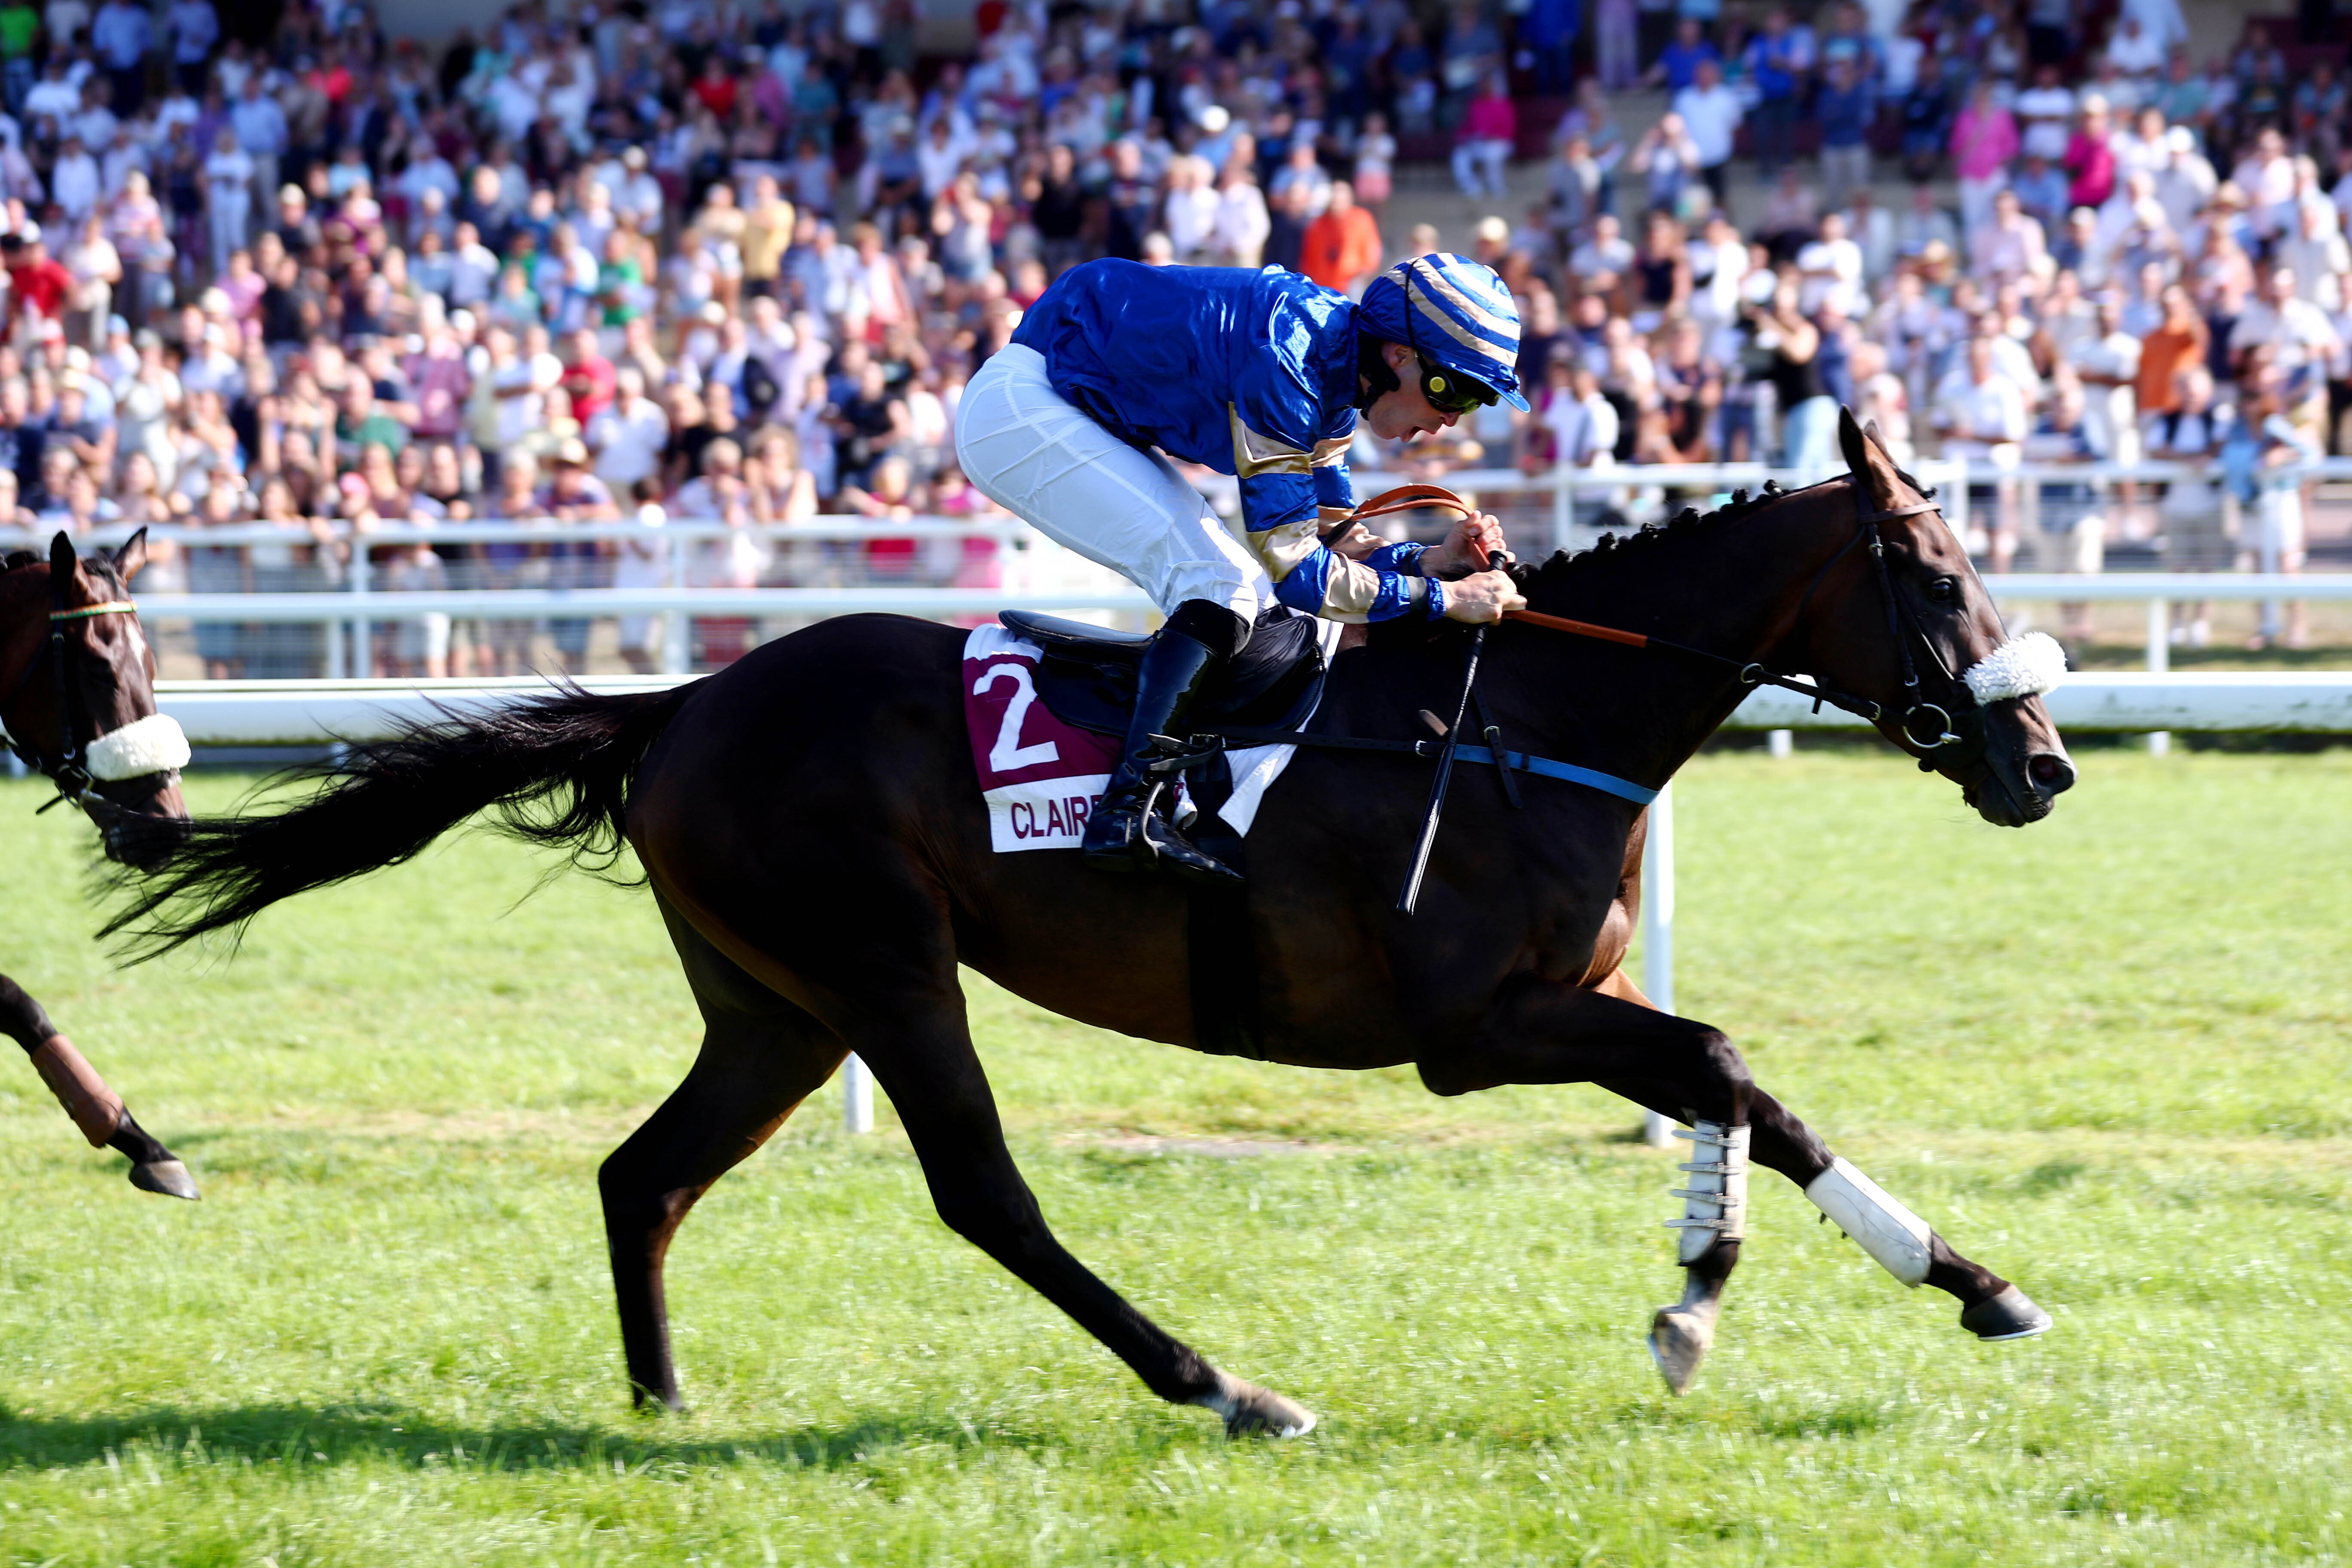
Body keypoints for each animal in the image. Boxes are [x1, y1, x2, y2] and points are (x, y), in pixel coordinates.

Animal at [110, 413, 2070, 1439]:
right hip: (885, 967)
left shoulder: (1556, 1008)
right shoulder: (1468, 1028)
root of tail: (683, 700)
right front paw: (1738, 1299)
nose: (2042, 759)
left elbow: (1747, 1093)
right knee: (983, 1192)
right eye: (1941, 579)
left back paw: (663, 1398)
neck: (1527, 715)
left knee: (644, 1172)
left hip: (775, 1002)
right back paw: (1224, 1385)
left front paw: (1911, 1285)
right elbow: (1729, 1064)